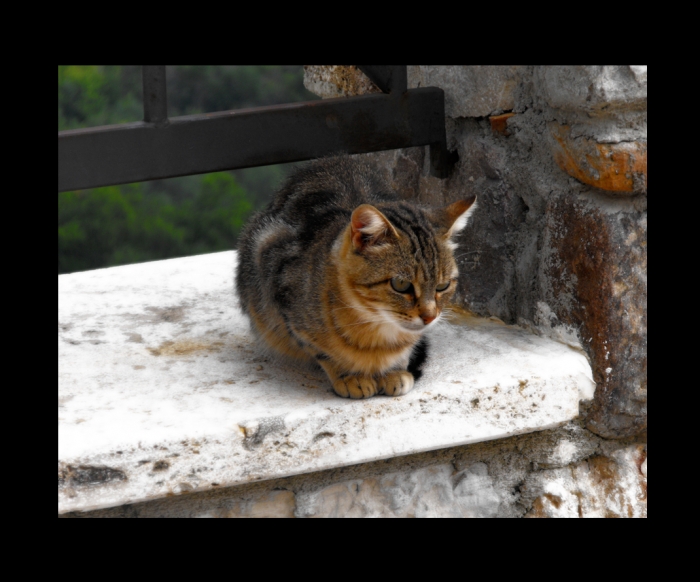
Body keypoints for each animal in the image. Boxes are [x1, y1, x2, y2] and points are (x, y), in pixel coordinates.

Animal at [237, 157, 476, 400]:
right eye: (401, 284)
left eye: (442, 286)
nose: (429, 317)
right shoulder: (279, 293)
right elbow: (320, 350)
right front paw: (350, 376)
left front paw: (394, 370)